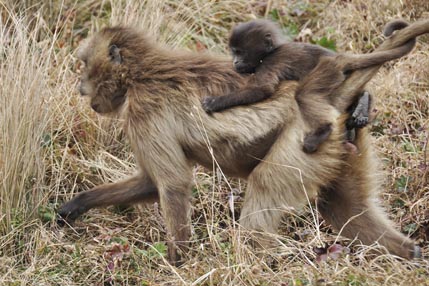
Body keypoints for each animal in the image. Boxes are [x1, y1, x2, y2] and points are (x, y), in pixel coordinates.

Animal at [202, 19, 412, 154]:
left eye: (240, 52)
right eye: (233, 52)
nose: (235, 62)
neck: (271, 51)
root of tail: (339, 58)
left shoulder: (270, 63)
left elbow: (261, 90)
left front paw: (214, 102)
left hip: (328, 70)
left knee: (304, 94)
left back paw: (324, 130)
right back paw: (361, 107)